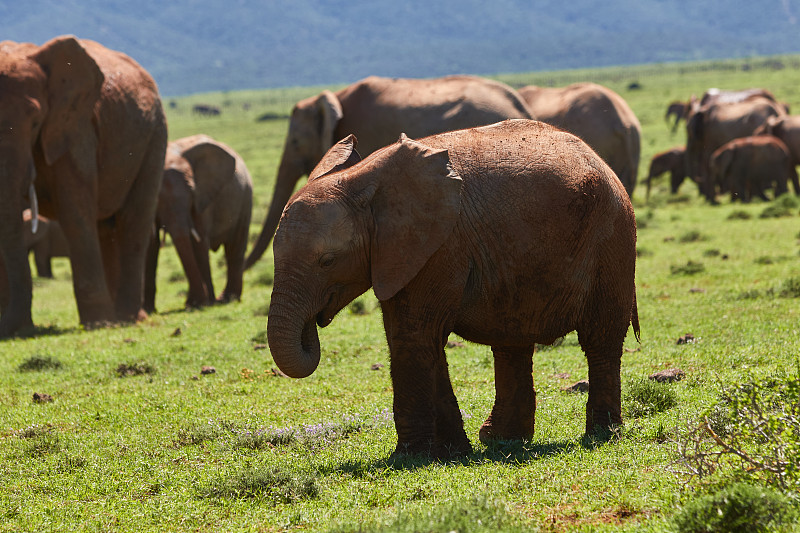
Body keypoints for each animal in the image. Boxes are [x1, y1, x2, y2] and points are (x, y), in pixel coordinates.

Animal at [0, 36, 166, 336]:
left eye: (35, 121)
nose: (15, 330)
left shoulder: (76, 128)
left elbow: (74, 210)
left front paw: (97, 324)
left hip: (155, 134)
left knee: (133, 220)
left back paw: (125, 318)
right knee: (106, 229)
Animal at [144, 135, 253, 314]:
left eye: (191, 191)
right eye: (157, 198)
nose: (197, 303)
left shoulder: (202, 197)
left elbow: (199, 241)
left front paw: (202, 303)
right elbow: (150, 245)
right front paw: (147, 310)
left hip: (245, 197)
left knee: (234, 248)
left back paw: (227, 298)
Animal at [266, 119, 640, 458]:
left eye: (327, 260)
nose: (314, 323)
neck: (365, 179)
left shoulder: (439, 246)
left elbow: (414, 334)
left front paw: (409, 457)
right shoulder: (403, 253)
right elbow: (423, 339)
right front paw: (452, 452)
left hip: (612, 240)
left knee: (600, 339)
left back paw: (602, 434)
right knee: (511, 341)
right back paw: (500, 441)